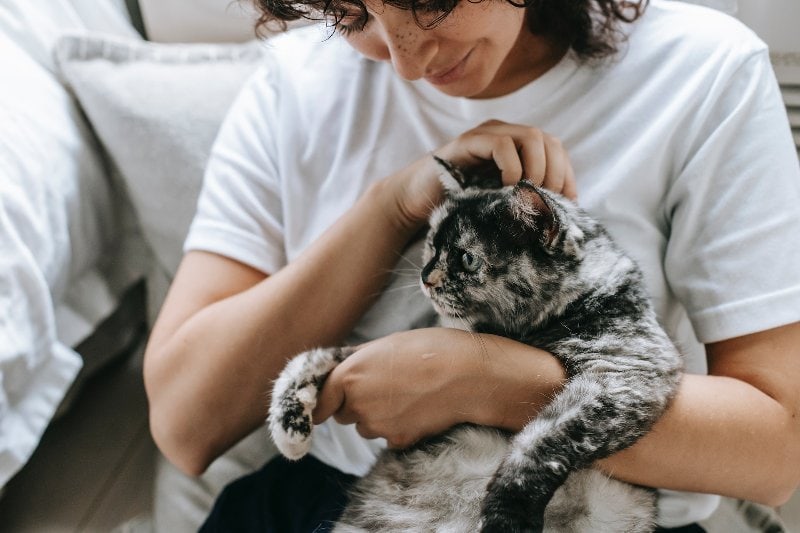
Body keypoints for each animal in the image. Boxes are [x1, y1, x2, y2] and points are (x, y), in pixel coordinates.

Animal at [268, 156, 680, 528]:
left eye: (466, 259)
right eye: (431, 244)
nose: (425, 277)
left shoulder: (627, 370)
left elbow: (542, 440)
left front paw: (505, 517)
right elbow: (319, 357)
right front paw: (289, 428)